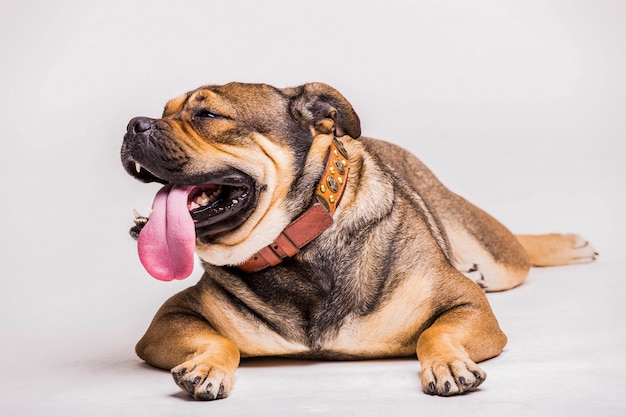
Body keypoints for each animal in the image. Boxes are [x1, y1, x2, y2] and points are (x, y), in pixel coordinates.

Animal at [118, 82, 596, 400]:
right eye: (164, 110)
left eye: (207, 116)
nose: (133, 124)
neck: (299, 244)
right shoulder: (168, 320)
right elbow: (220, 339)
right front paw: (207, 367)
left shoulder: (469, 305)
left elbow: (436, 332)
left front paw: (448, 362)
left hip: (493, 254)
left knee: (517, 251)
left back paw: (565, 244)